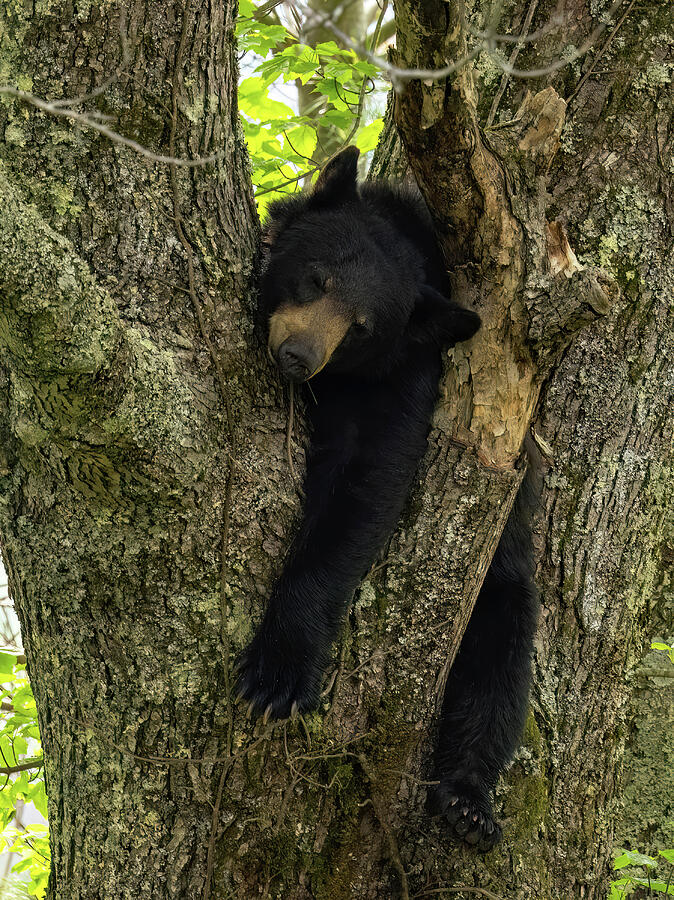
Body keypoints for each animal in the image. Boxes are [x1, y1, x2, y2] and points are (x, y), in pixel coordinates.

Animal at [236, 146, 539, 852]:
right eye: (316, 279)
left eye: (362, 327)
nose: (297, 356)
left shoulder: (412, 380)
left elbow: (368, 485)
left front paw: (279, 670)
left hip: (499, 581)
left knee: (500, 665)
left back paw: (467, 799)